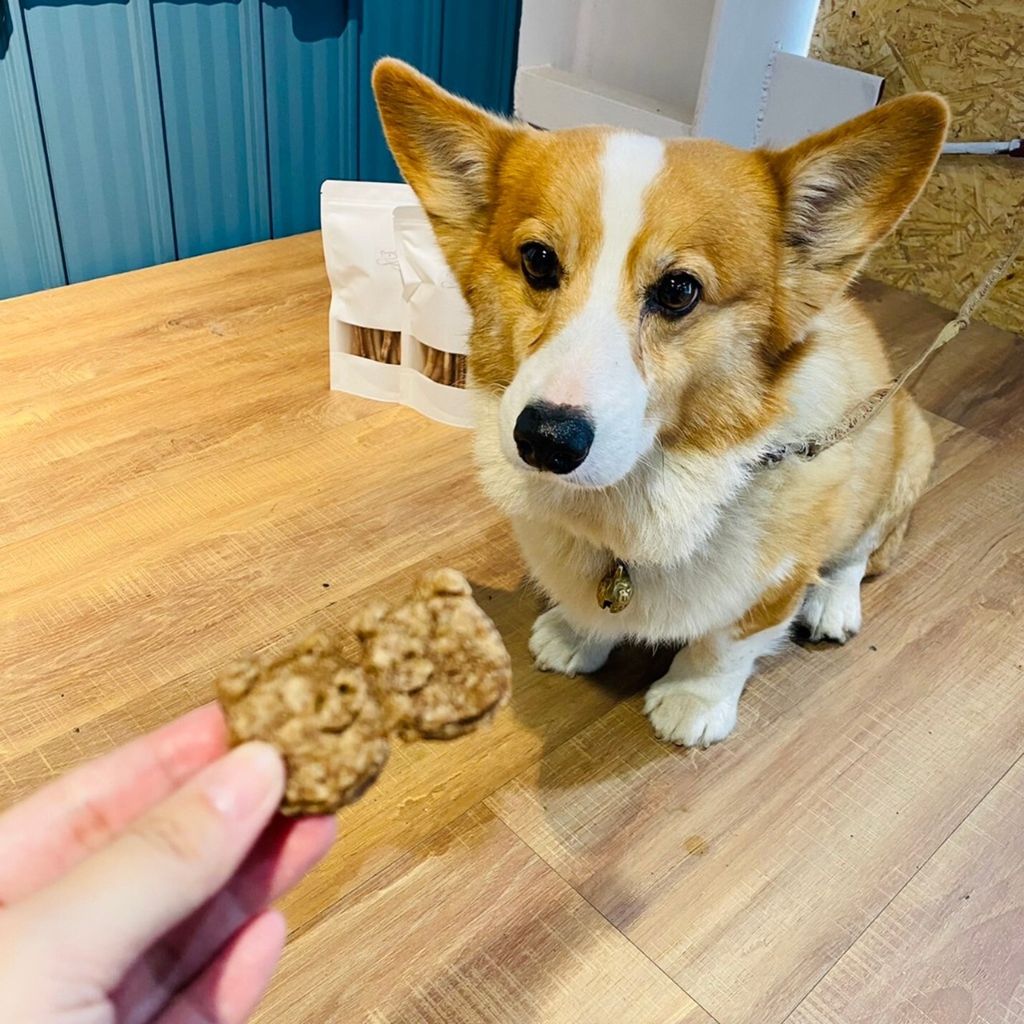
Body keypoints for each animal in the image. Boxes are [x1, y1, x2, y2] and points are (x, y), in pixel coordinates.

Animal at [372, 61, 946, 745]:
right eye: (538, 260)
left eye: (678, 291)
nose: (545, 440)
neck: (634, 499)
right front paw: (574, 636)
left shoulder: (773, 582)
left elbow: (726, 643)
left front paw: (694, 701)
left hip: (902, 452)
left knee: (861, 551)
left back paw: (832, 601)